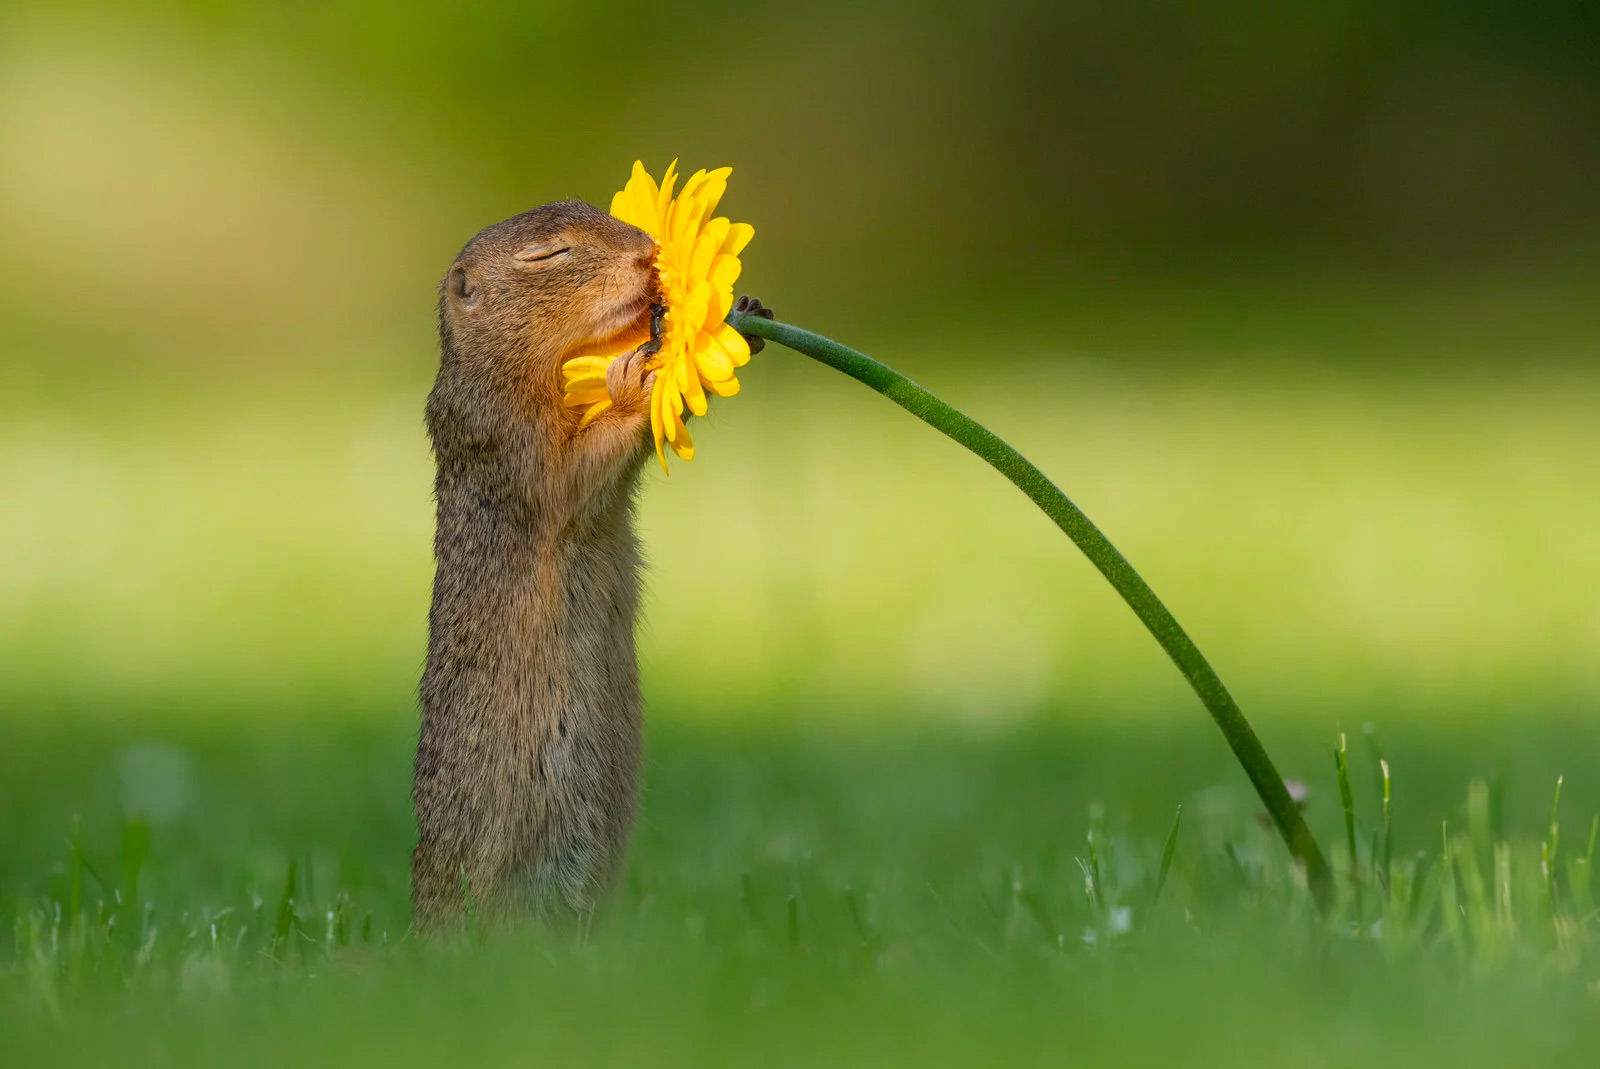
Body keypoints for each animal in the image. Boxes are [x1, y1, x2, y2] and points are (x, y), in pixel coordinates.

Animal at [411, 198, 769, 931]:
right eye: (548, 254)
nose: (646, 254)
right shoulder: (504, 438)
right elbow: (571, 473)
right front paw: (638, 377)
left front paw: (739, 312)